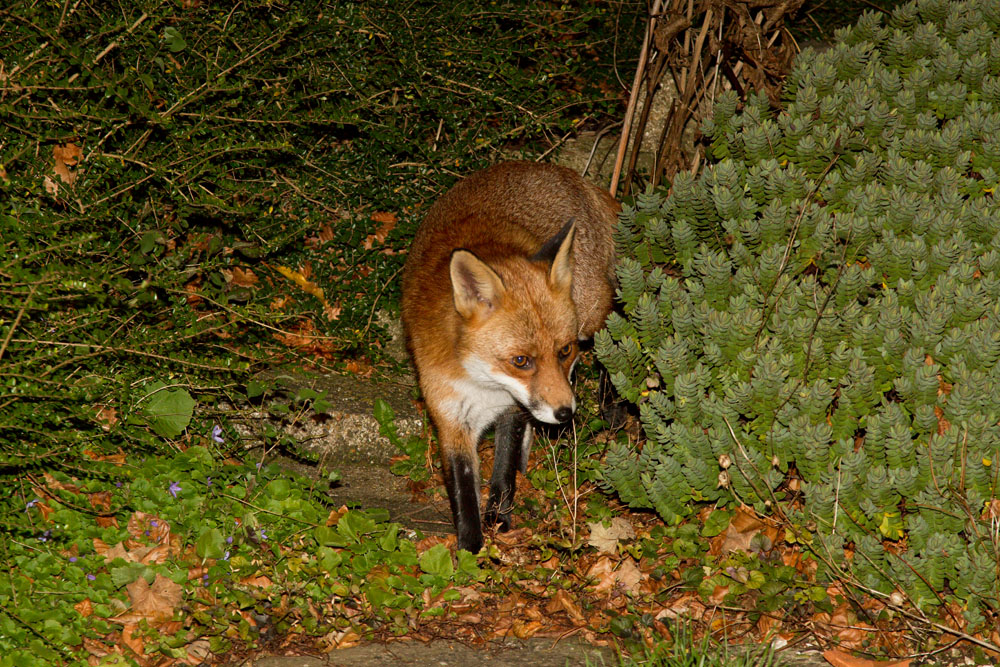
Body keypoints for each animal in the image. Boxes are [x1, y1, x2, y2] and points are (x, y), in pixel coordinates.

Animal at [401, 161, 620, 553]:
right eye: (521, 361)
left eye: (563, 351)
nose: (566, 414)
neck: (482, 382)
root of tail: (564, 172)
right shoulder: (449, 415)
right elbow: (463, 489)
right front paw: (471, 547)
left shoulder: (514, 408)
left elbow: (502, 468)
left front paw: (499, 520)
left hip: (591, 314)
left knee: (615, 323)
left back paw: (612, 403)